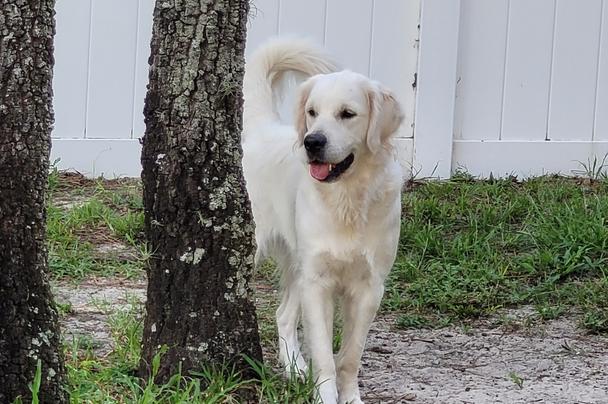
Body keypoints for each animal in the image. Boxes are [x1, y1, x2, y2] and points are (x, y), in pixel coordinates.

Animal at [241, 40, 404, 404]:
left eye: (347, 114)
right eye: (313, 112)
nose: (312, 142)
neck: (347, 199)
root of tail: (262, 127)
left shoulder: (369, 287)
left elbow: (350, 355)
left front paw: (351, 397)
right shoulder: (317, 282)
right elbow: (325, 355)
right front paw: (326, 395)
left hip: (297, 266)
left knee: (283, 316)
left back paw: (294, 368)